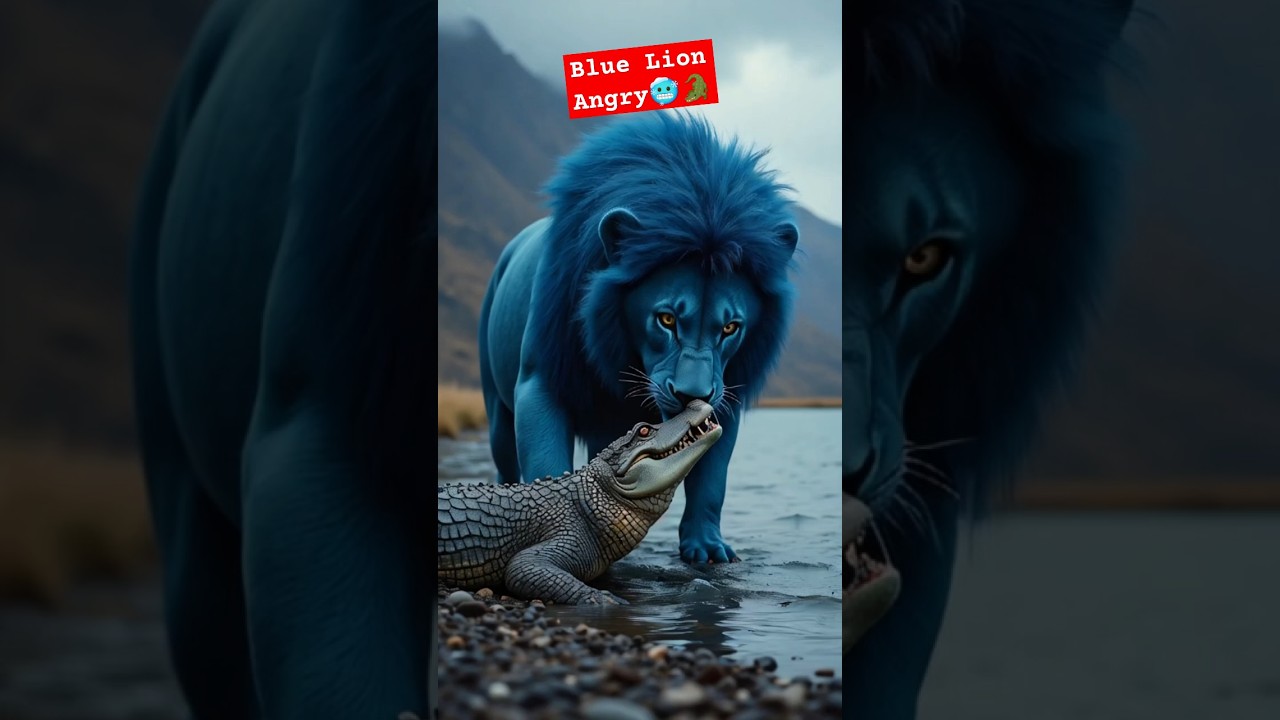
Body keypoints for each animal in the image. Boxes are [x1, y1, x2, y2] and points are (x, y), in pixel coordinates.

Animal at [478, 112, 799, 564]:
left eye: (730, 328)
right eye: (666, 319)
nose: (692, 396)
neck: (620, 351)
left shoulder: (726, 397)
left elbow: (711, 482)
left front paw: (707, 547)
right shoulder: (539, 383)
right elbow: (544, 460)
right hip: (496, 410)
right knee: (505, 463)